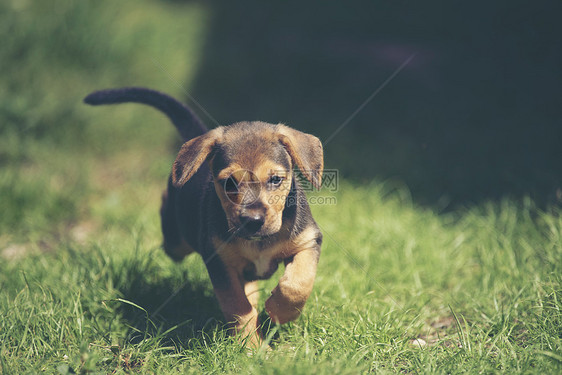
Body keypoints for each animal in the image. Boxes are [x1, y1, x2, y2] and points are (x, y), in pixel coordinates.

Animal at [81, 88, 322, 346]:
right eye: (229, 183)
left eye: (276, 179)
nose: (253, 221)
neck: (259, 243)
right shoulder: (219, 261)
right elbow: (238, 307)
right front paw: (251, 347)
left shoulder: (308, 241)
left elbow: (297, 283)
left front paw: (279, 312)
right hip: (177, 244)